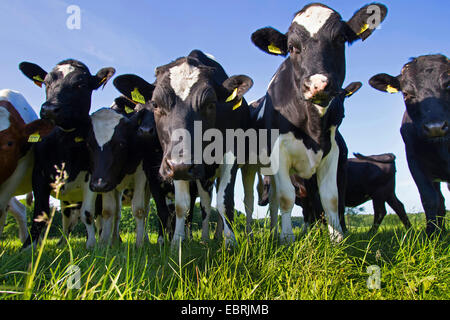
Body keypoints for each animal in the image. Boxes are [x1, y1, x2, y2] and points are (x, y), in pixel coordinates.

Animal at [18, 58, 114, 249]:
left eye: (81, 85)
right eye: (46, 83)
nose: (50, 109)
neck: (65, 142)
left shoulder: (92, 177)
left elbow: (87, 213)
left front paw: (91, 245)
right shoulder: (38, 174)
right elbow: (40, 212)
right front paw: (28, 246)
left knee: (97, 216)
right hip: (67, 200)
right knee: (66, 219)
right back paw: (62, 243)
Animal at [244, 1, 388, 242]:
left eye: (340, 39)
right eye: (292, 47)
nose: (317, 84)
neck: (313, 125)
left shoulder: (331, 153)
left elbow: (331, 198)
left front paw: (337, 239)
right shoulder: (279, 153)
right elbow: (286, 197)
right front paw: (287, 239)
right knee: (263, 198)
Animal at [258, 152, 414, 232]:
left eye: (265, 185)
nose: (260, 202)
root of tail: (385, 155)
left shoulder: (308, 195)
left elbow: (314, 215)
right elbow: (310, 216)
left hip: (379, 194)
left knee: (381, 212)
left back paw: (371, 233)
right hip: (388, 193)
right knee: (399, 207)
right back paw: (409, 230)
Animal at [370, 54, 450, 235]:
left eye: (449, 84)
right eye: (406, 93)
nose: (435, 127)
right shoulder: (414, 162)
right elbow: (428, 198)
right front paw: (431, 234)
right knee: (440, 201)